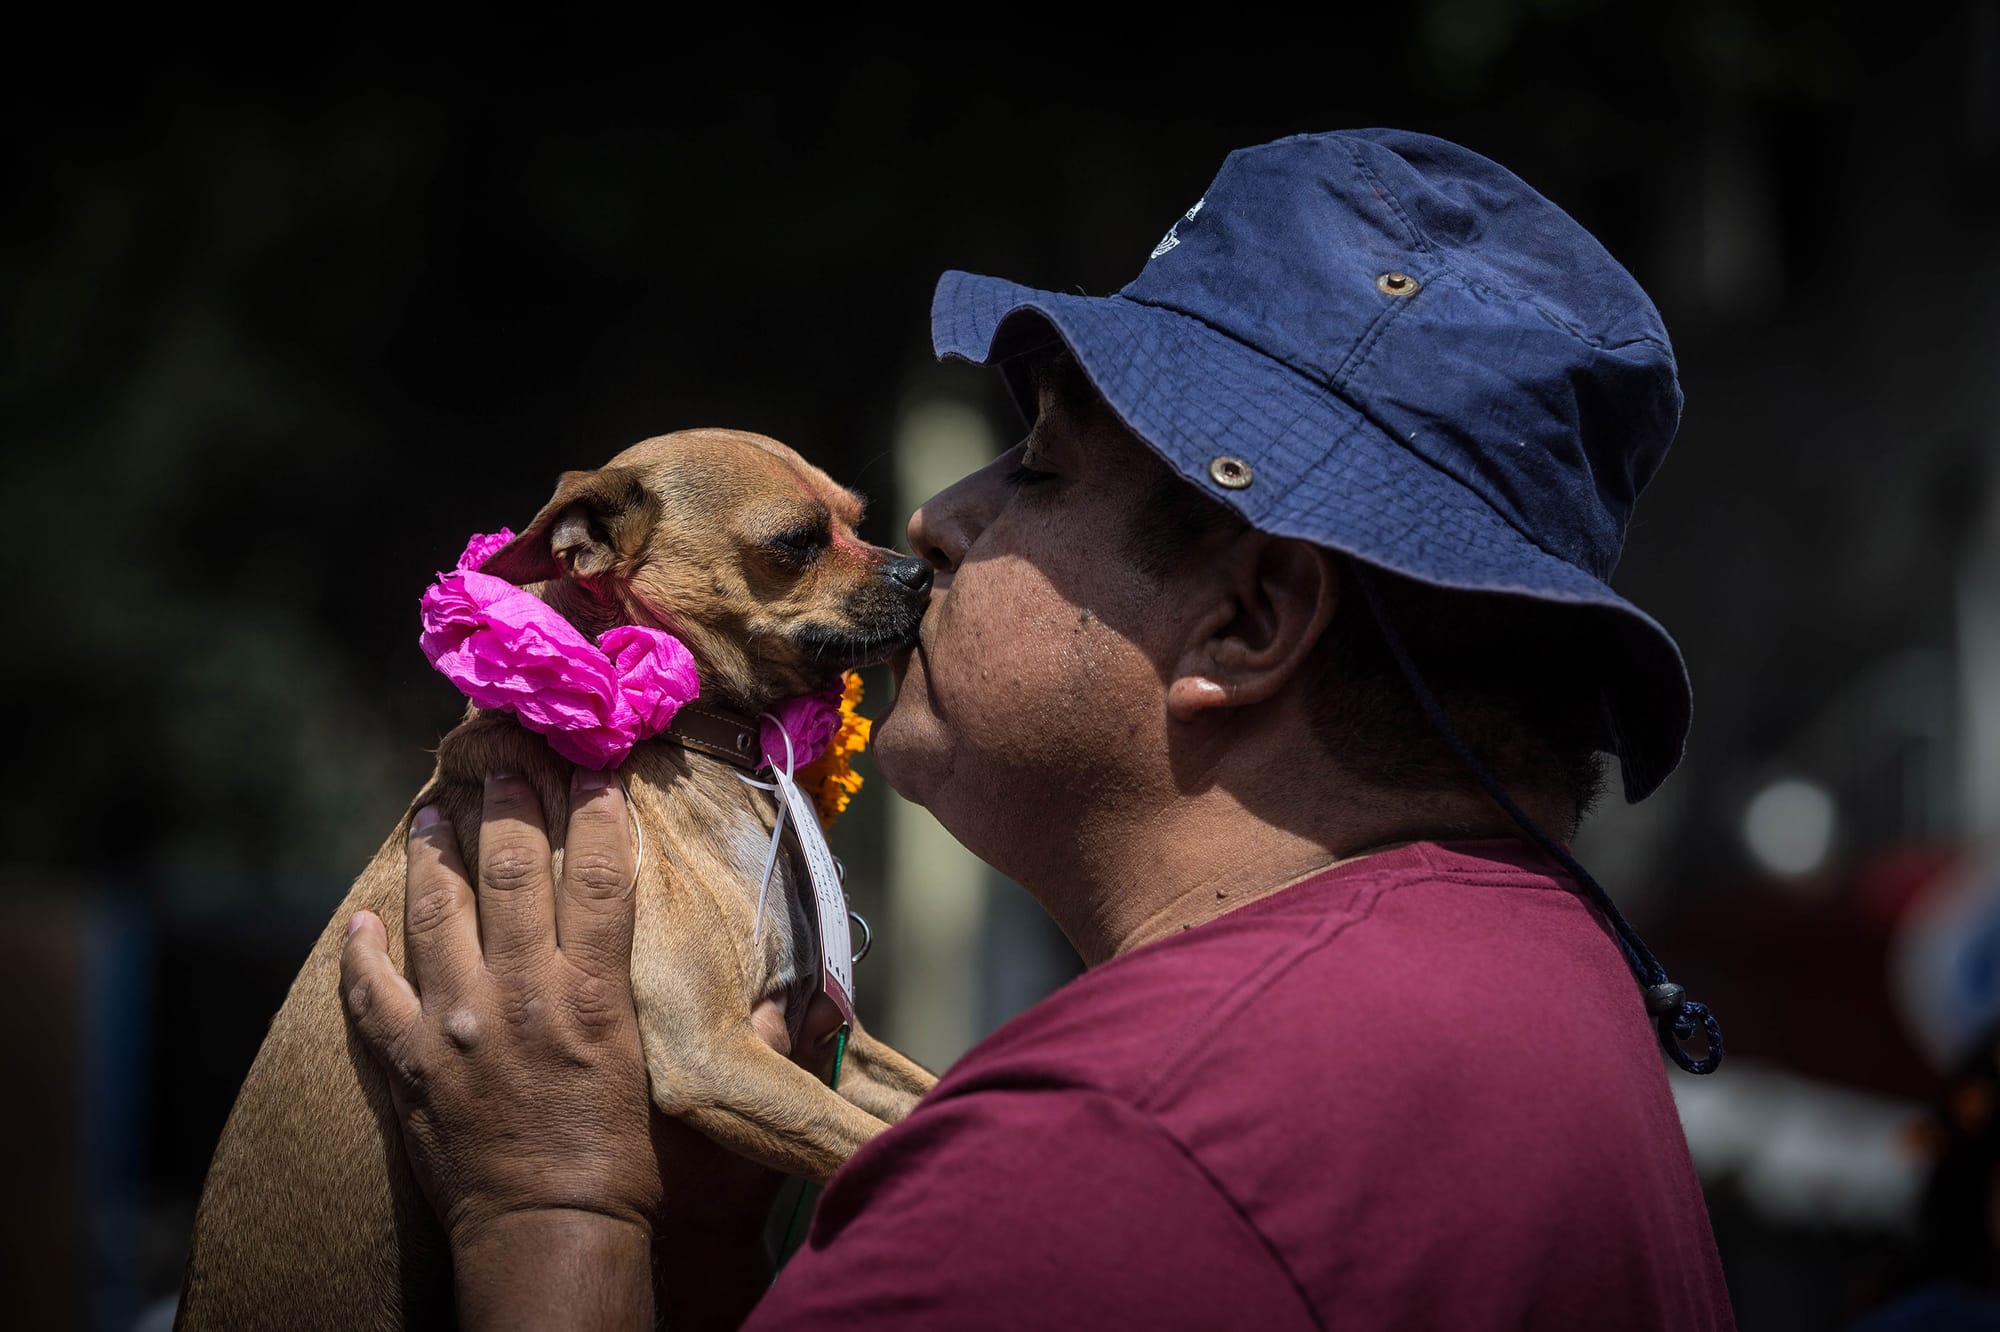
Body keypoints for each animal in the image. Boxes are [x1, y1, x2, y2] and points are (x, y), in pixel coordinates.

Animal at [176, 430, 940, 1320]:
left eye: (857, 518)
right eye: (797, 541)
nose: (920, 572)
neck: (684, 739)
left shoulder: (835, 1048)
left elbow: (917, 1099)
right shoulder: (710, 1055)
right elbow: (873, 1142)